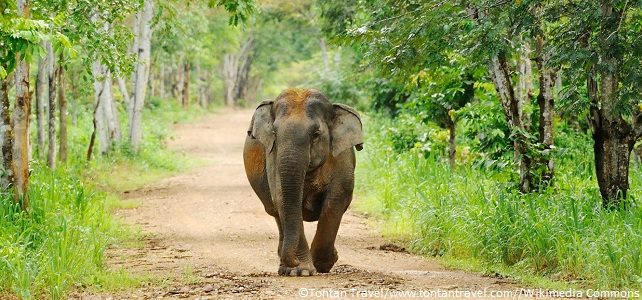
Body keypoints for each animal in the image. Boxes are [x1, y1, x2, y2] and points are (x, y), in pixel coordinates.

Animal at [242, 87, 362, 276]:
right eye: (274, 134)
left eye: (316, 134)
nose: (293, 261)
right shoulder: (273, 158)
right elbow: (284, 200)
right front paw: (300, 271)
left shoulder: (342, 158)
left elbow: (335, 201)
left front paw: (323, 264)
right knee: (277, 213)